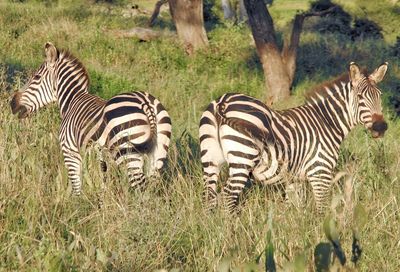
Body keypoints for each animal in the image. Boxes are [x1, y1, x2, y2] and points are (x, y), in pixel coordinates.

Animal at [10, 42, 171, 194]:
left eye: (36, 77)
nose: (12, 104)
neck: (72, 100)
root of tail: (146, 103)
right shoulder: (100, 159)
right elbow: (102, 185)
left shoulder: (70, 152)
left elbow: (77, 186)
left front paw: (77, 204)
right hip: (158, 153)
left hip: (127, 151)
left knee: (141, 189)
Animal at [200, 62, 388, 215]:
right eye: (360, 97)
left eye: (380, 96)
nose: (381, 127)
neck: (327, 121)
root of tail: (222, 102)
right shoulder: (320, 171)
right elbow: (321, 210)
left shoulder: (294, 179)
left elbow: (294, 210)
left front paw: (295, 231)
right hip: (242, 159)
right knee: (227, 196)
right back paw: (231, 230)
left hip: (210, 159)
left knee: (209, 196)